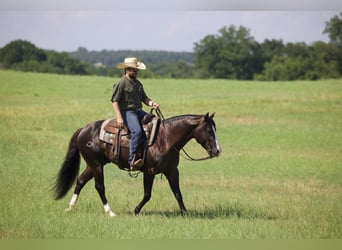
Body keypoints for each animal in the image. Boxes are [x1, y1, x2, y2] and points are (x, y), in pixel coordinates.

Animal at [52, 113, 220, 217]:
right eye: (208, 130)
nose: (217, 150)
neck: (166, 139)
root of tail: (83, 130)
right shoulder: (149, 172)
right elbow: (147, 194)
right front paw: (136, 210)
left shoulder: (172, 171)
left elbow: (177, 193)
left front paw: (184, 213)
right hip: (97, 165)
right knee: (99, 186)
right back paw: (110, 212)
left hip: (92, 165)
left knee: (80, 180)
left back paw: (70, 207)